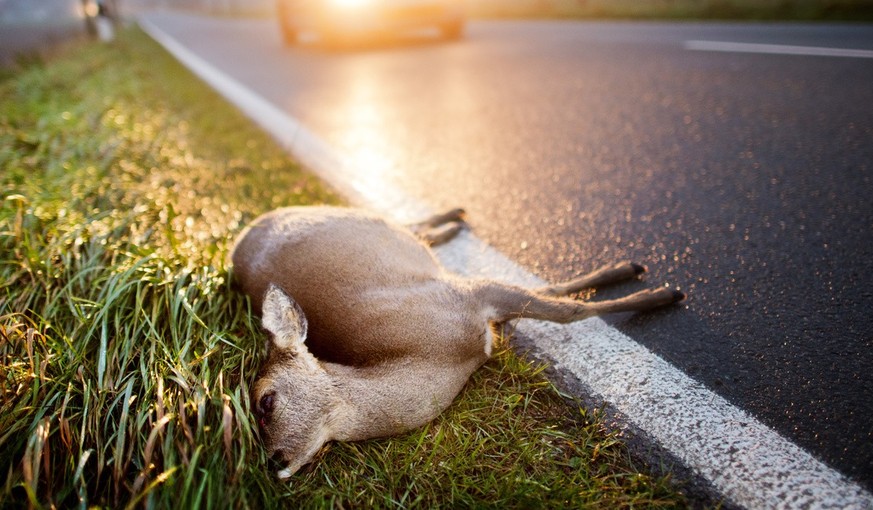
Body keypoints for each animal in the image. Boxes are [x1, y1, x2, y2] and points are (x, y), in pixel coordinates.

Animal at [230, 206, 685, 479]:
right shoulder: (475, 301)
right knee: (409, 226)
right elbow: (554, 297)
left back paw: (455, 218)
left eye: (265, 401)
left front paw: (657, 292)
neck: (441, 356)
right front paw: (643, 282)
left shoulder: (467, 295)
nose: (272, 463)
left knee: (404, 221)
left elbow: (566, 309)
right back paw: (453, 221)